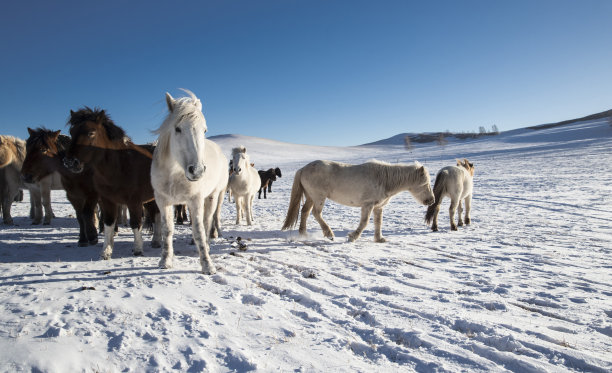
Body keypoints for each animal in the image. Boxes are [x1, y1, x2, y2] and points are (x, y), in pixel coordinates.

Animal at [63, 107, 159, 258]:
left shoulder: (134, 201)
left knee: (156, 216)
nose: (70, 162)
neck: (120, 166)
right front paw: (106, 252)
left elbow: (135, 223)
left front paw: (138, 249)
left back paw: (156, 240)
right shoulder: (107, 200)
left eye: (91, 133)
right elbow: (108, 223)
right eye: (71, 132)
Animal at [151, 89, 230, 274]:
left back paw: (208, 243)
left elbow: (200, 230)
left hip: (215, 196)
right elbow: (167, 230)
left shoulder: (196, 200)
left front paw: (207, 265)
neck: (174, 172)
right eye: (177, 129)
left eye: (204, 130)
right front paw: (165, 261)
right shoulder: (162, 201)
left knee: (209, 220)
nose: (197, 170)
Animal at [282, 159, 436, 241]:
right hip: (319, 197)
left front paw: (379, 239)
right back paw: (329, 234)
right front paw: (353, 236)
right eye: (425, 183)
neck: (384, 180)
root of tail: (303, 168)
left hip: (311, 197)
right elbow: (364, 222)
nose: (432, 201)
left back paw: (303, 233)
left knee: (305, 212)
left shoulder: (378, 207)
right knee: (316, 213)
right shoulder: (368, 205)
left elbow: (378, 223)